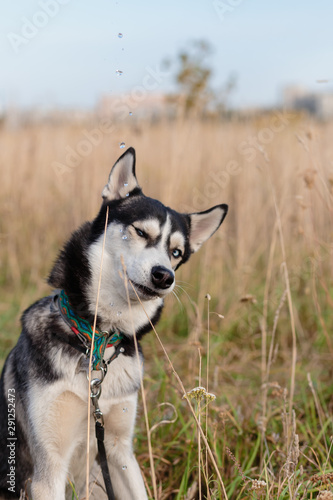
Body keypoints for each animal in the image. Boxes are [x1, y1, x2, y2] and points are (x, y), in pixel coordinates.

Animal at [0, 146, 226, 498]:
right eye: (141, 232)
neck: (98, 340)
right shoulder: (48, 469)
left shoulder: (119, 452)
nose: (165, 276)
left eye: (176, 252)